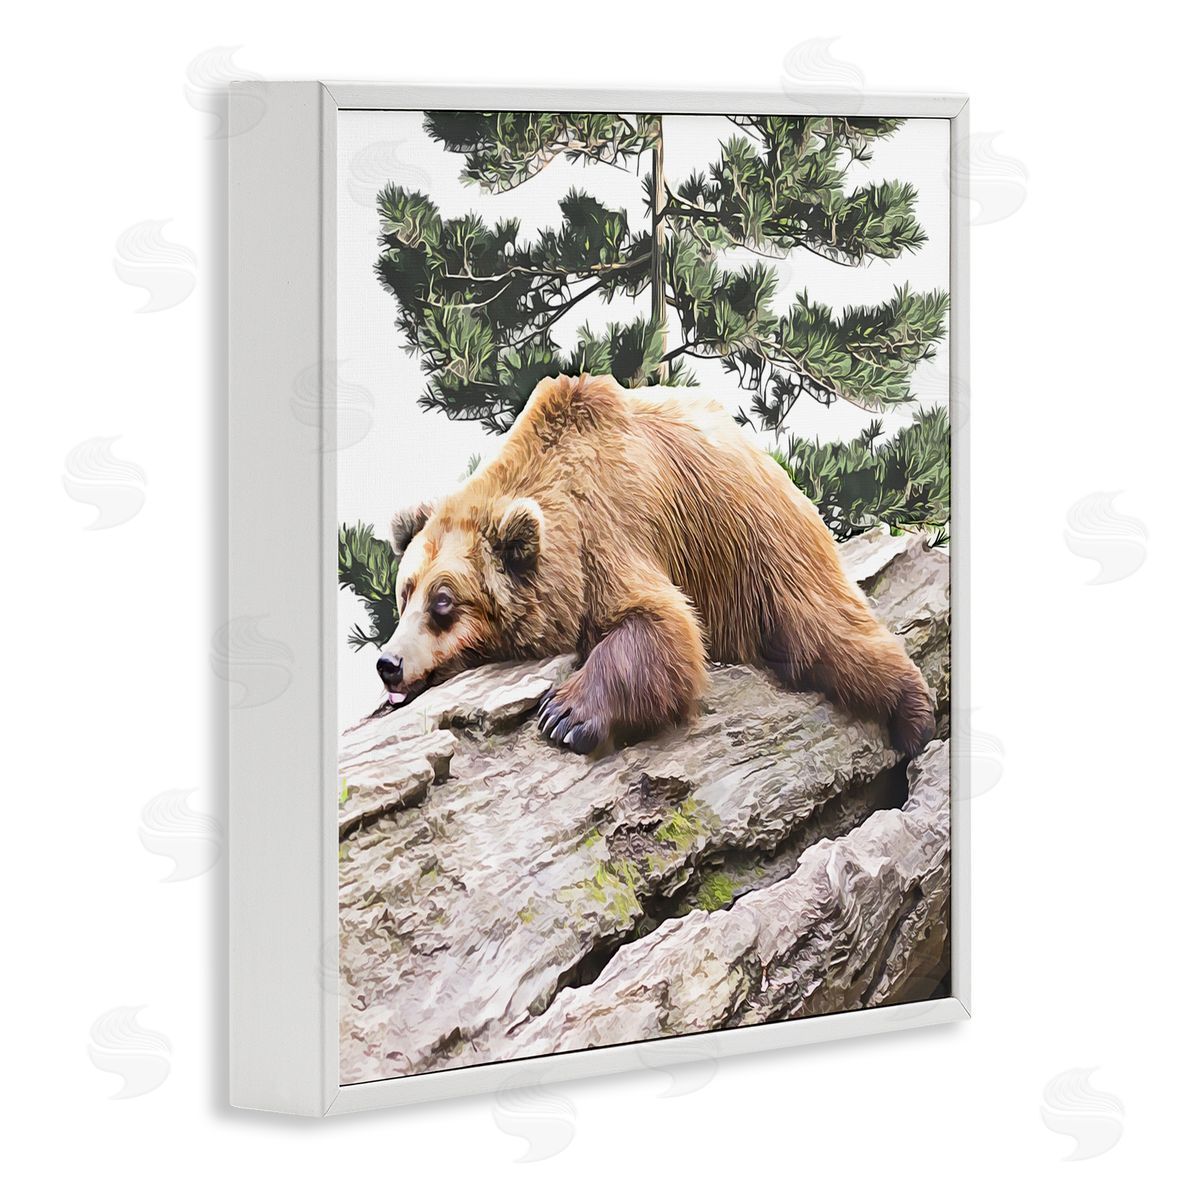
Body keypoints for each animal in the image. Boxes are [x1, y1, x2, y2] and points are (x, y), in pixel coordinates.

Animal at [376, 374, 936, 757]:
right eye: (405, 593)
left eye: (443, 601)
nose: (388, 663)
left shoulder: (609, 527)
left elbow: (661, 625)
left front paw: (564, 715)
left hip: (760, 543)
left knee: (828, 631)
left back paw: (916, 715)